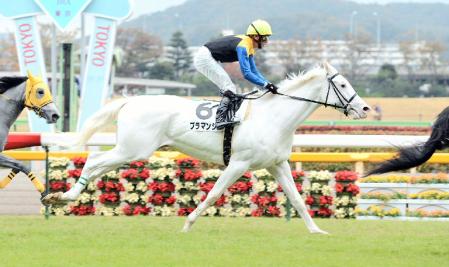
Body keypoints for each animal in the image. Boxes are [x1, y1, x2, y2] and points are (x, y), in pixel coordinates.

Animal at [43, 62, 370, 234]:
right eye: (342, 84)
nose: (365, 108)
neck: (273, 117)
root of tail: (129, 100)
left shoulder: (277, 163)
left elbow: (298, 199)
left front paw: (316, 231)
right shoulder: (239, 163)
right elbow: (213, 193)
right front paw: (188, 224)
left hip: (131, 149)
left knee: (97, 162)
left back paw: (61, 197)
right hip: (133, 149)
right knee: (94, 159)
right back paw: (61, 196)